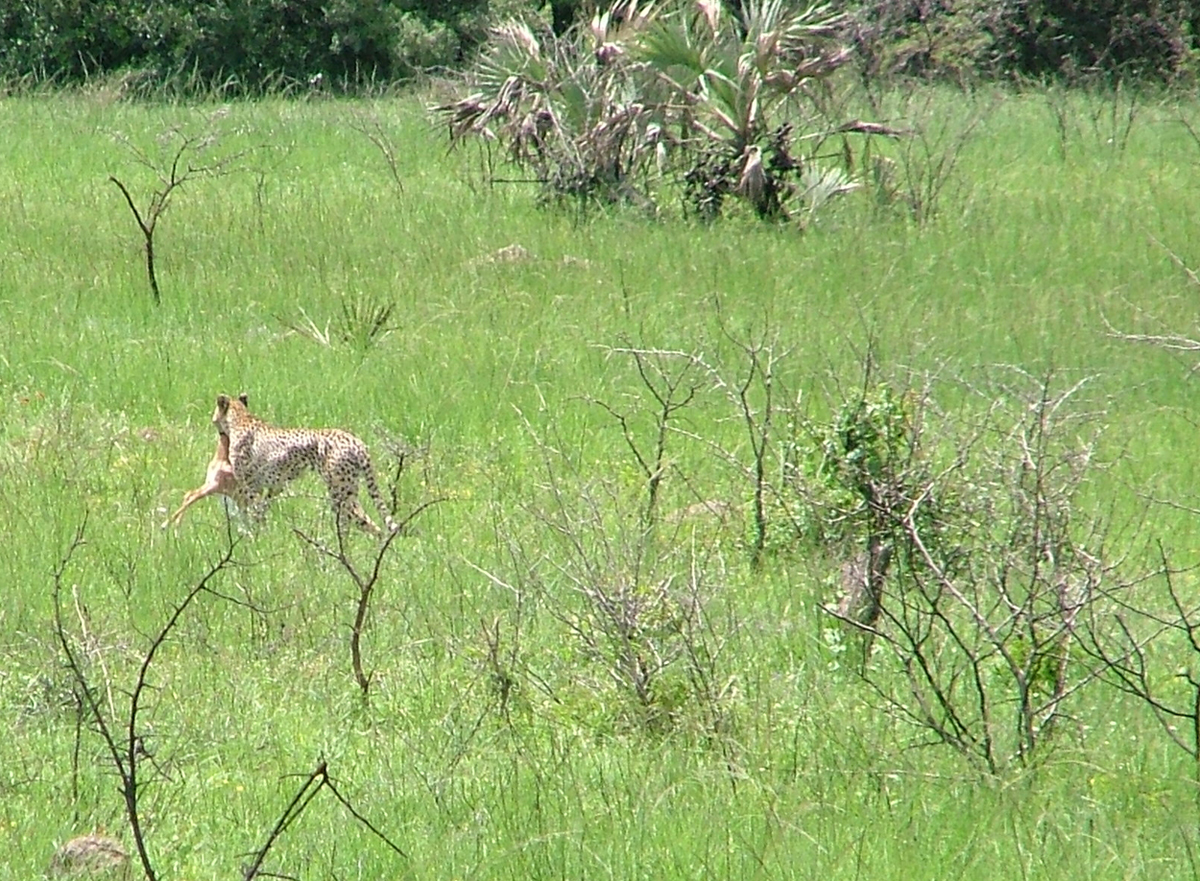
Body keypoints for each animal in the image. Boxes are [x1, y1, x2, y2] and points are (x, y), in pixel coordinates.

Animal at [205, 396, 393, 535]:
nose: (214, 422)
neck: (241, 418)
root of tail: (357, 442)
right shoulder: (273, 486)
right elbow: (262, 509)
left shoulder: (250, 487)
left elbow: (252, 513)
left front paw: (256, 536)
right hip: (347, 490)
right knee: (366, 521)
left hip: (339, 491)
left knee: (356, 519)